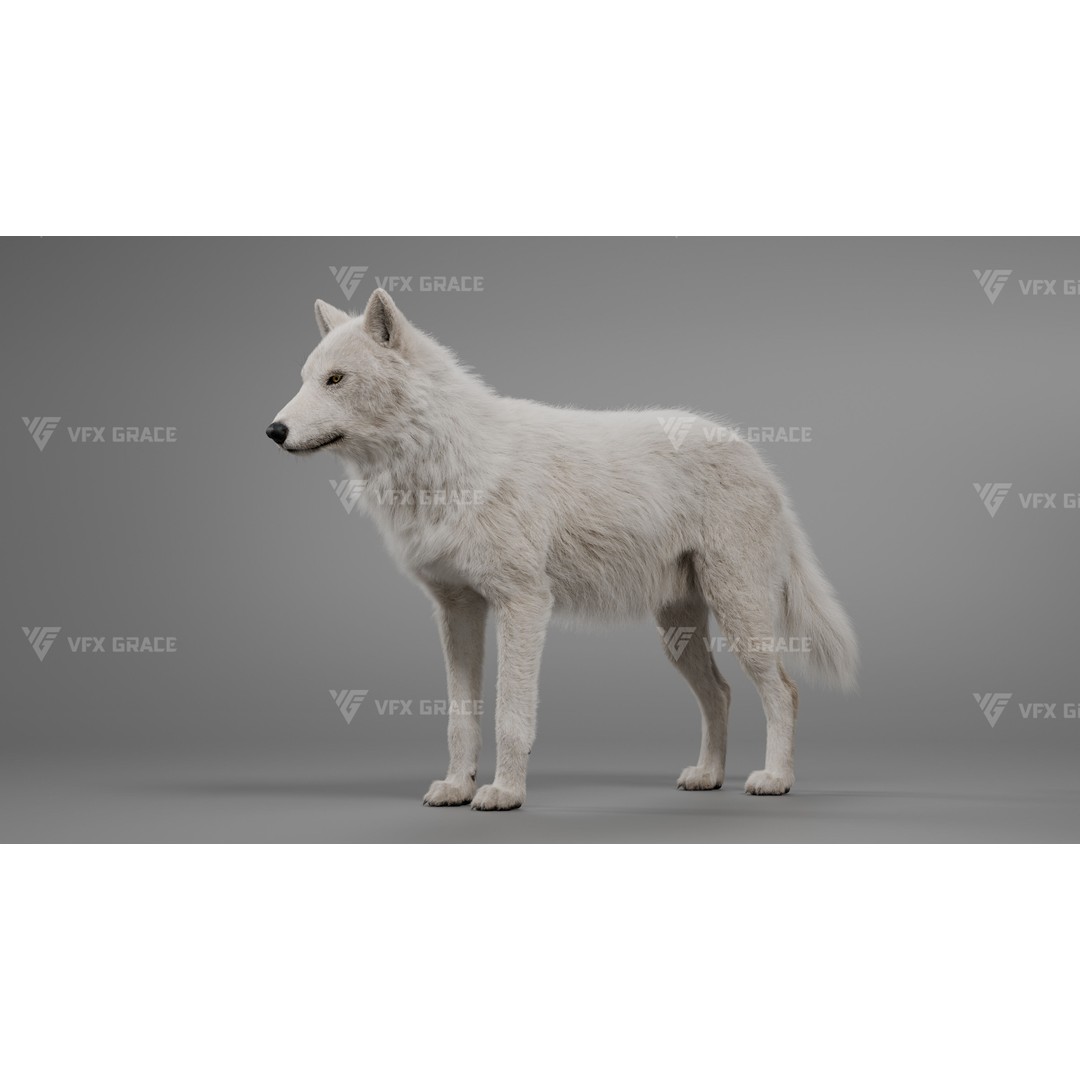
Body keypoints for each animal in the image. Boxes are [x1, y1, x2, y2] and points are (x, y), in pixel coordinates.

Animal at [267, 290, 857, 810]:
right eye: (305, 380)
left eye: (336, 380)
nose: (274, 430)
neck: (446, 467)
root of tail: (755, 456)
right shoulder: (457, 610)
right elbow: (461, 718)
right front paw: (457, 788)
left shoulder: (524, 604)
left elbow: (511, 714)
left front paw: (505, 794)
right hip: (678, 634)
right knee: (722, 693)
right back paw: (709, 776)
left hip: (739, 616)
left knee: (783, 691)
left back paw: (775, 780)